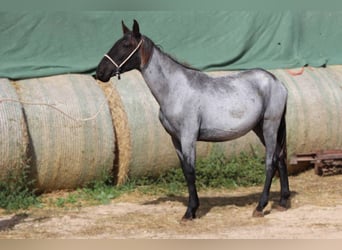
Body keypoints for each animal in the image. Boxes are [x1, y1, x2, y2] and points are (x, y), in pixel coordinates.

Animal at [95, 19, 290, 220]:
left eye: (126, 45)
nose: (99, 72)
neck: (175, 89)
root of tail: (277, 82)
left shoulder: (188, 136)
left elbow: (190, 170)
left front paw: (190, 212)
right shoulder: (175, 139)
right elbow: (185, 171)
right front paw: (192, 209)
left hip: (269, 126)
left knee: (271, 162)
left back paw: (260, 207)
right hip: (261, 128)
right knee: (280, 157)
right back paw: (283, 202)